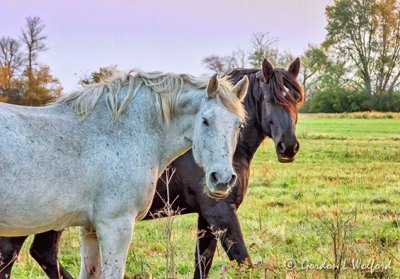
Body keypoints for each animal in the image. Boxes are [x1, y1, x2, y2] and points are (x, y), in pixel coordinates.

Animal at [0, 58, 304, 278]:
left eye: (238, 125)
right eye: (205, 120)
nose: (221, 179)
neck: (119, 133)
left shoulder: (90, 229)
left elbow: (203, 264)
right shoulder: (119, 226)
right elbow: (243, 261)